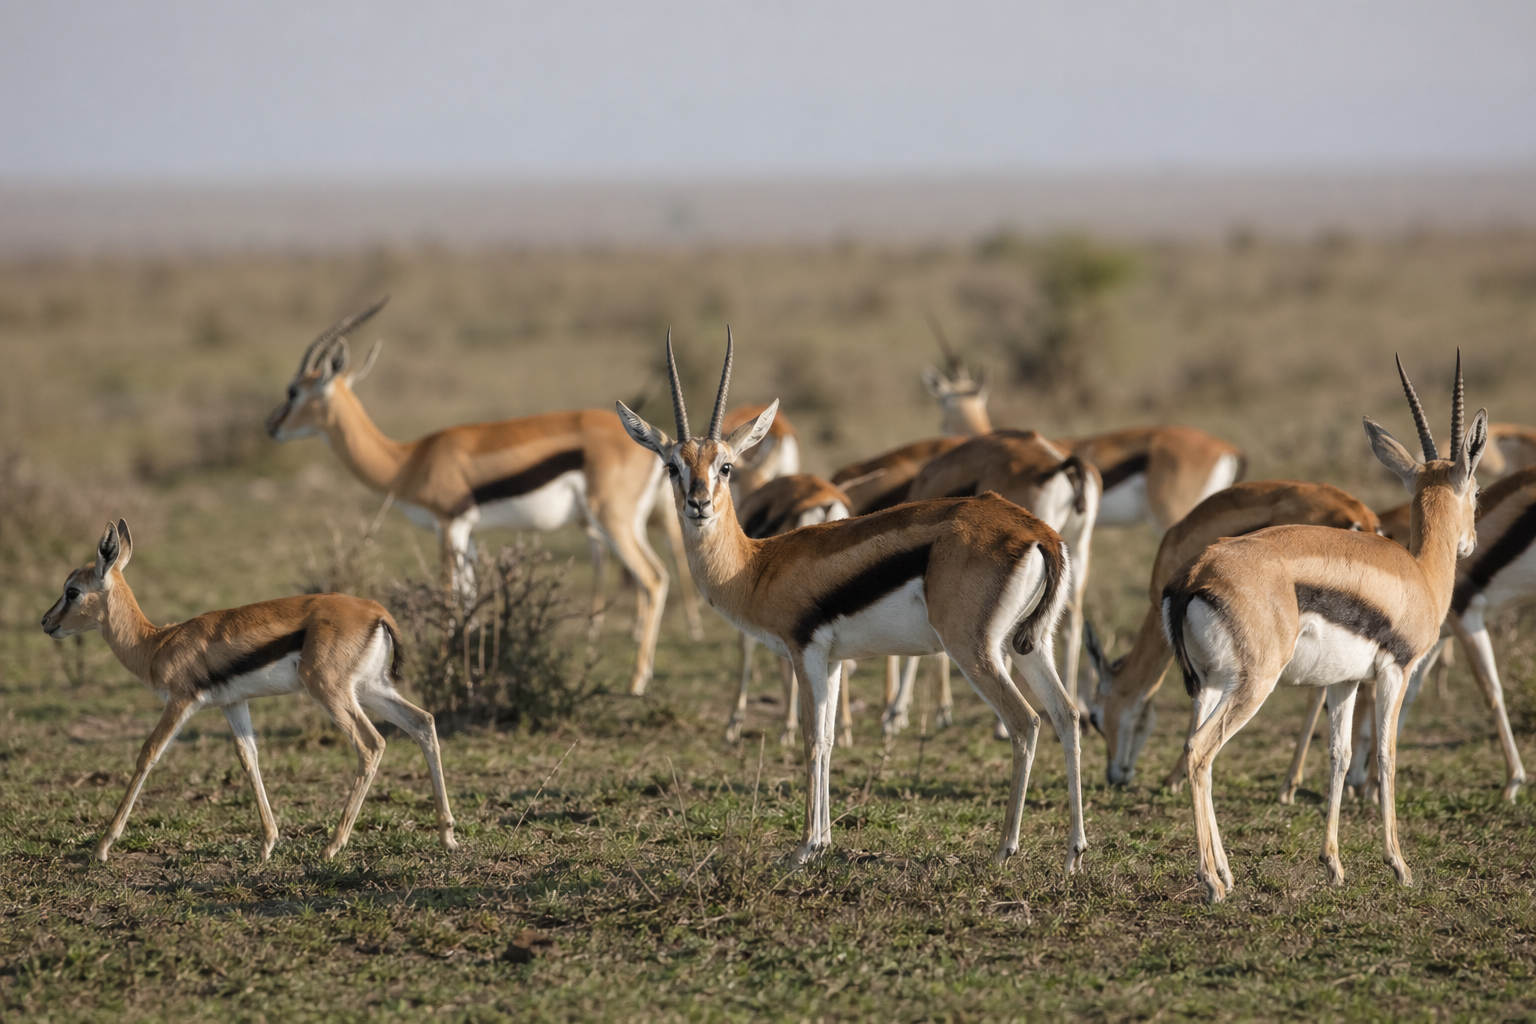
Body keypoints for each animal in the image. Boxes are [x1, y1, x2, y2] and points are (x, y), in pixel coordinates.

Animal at [41, 520, 457, 863]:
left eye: (72, 591)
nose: (45, 622)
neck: (157, 644)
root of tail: (375, 611)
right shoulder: (233, 703)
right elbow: (249, 757)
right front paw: (268, 844)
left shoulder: (180, 703)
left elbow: (149, 754)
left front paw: (102, 846)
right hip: (370, 690)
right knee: (423, 722)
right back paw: (447, 837)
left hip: (331, 692)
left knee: (371, 744)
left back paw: (332, 847)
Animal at [265, 298, 672, 695]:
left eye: (294, 391)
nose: (271, 426)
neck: (408, 460)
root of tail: (656, 442)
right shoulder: (470, 531)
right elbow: (470, 600)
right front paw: (472, 672)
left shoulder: (449, 524)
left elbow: (448, 598)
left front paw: (447, 673)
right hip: (628, 523)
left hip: (610, 520)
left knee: (653, 578)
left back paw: (637, 682)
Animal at [1162, 356, 1485, 901]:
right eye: (1477, 491)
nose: (1470, 543)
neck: (1419, 573)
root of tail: (1194, 575)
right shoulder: (1395, 672)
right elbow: (1385, 755)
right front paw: (1400, 866)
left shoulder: (1345, 681)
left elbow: (1338, 755)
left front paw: (1333, 865)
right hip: (1252, 685)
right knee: (1199, 751)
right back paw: (1213, 883)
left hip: (1207, 685)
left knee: (1197, 750)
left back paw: (1225, 871)